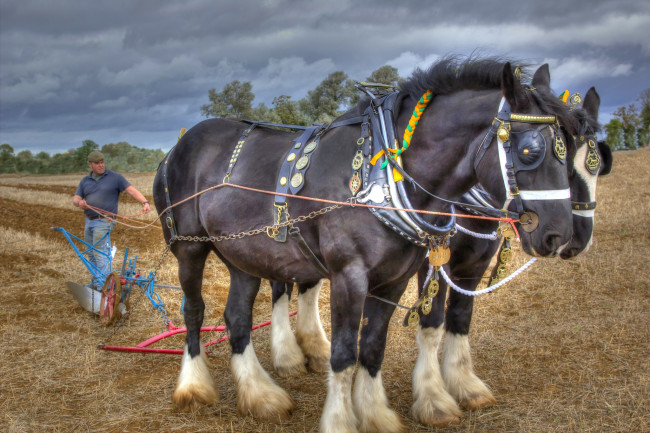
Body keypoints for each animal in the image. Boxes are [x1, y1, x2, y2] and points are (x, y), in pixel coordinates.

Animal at [153, 57, 576, 432]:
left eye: (571, 147)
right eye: (530, 150)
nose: (561, 235)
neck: (381, 175)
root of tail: (178, 146)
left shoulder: (395, 279)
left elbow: (373, 346)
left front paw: (376, 415)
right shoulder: (349, 277)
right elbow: (344, 354)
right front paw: (341, 422)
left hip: (243, 256)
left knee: (237, 318)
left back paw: (261, 396)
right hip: (190, 249)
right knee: (194, 311)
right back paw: (194, 387)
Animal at [266, 85, 612, 428]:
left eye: (597, 168)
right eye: (534, 154)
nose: (572, 239)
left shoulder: (472, 268)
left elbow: (460, 318)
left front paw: (464, 384)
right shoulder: (432, 266)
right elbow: (432, 323)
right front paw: (433, 397)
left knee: (307, 285)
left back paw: (314, 348)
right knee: (281, 286)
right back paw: (287, 356)